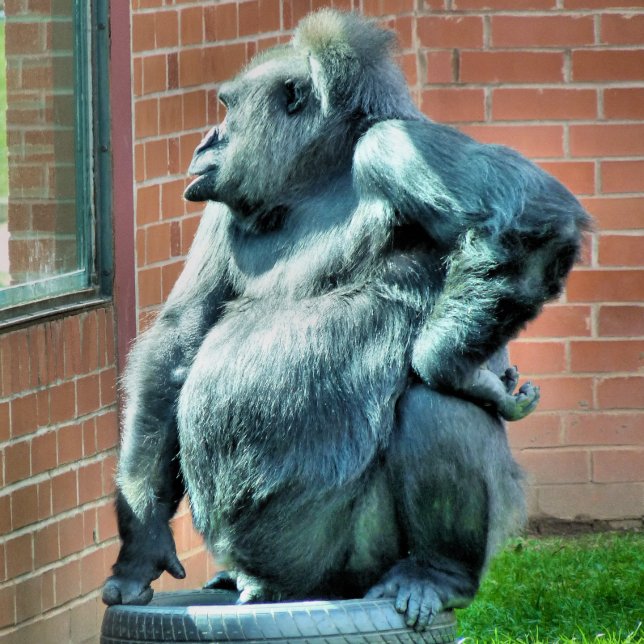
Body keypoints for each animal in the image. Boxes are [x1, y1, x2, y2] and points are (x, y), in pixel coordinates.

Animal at [103, 10, 591, 631]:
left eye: (226, 108)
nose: (206, 141)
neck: (317, 176)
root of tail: (283, 587)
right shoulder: (221, 203)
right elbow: (179, 341)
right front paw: (140, 541)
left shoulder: (396, 147)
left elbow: (533, 220)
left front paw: (457, 368)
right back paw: (237, 577)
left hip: (351, 566)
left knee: (431, 405)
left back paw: (437, 572)